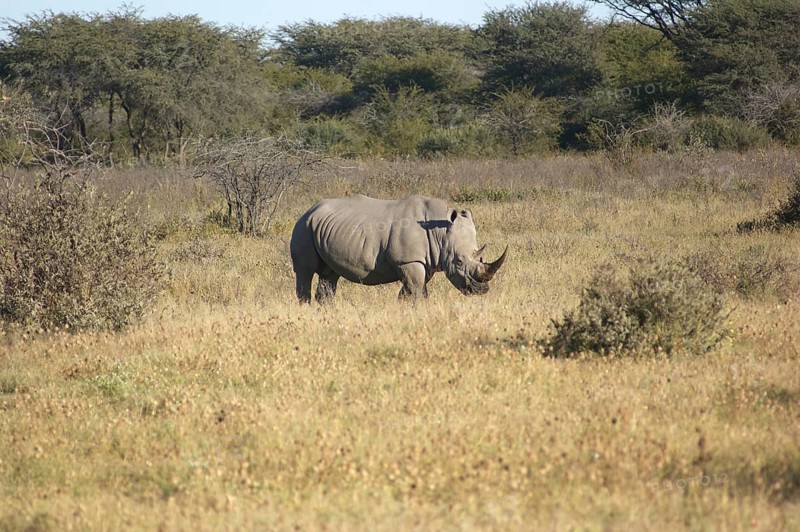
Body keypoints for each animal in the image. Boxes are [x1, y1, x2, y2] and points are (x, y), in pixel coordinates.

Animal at [290, 194, 507, 303]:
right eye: (459, 261)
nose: (480, 290)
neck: (440, 232)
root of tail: (309, 209)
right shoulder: (408, 260)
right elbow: (417, 290)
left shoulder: (424, 262)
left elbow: (413, 290)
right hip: (304, 227)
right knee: (305, 271)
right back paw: (306, 306)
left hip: (324, 229)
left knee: (330, 274)